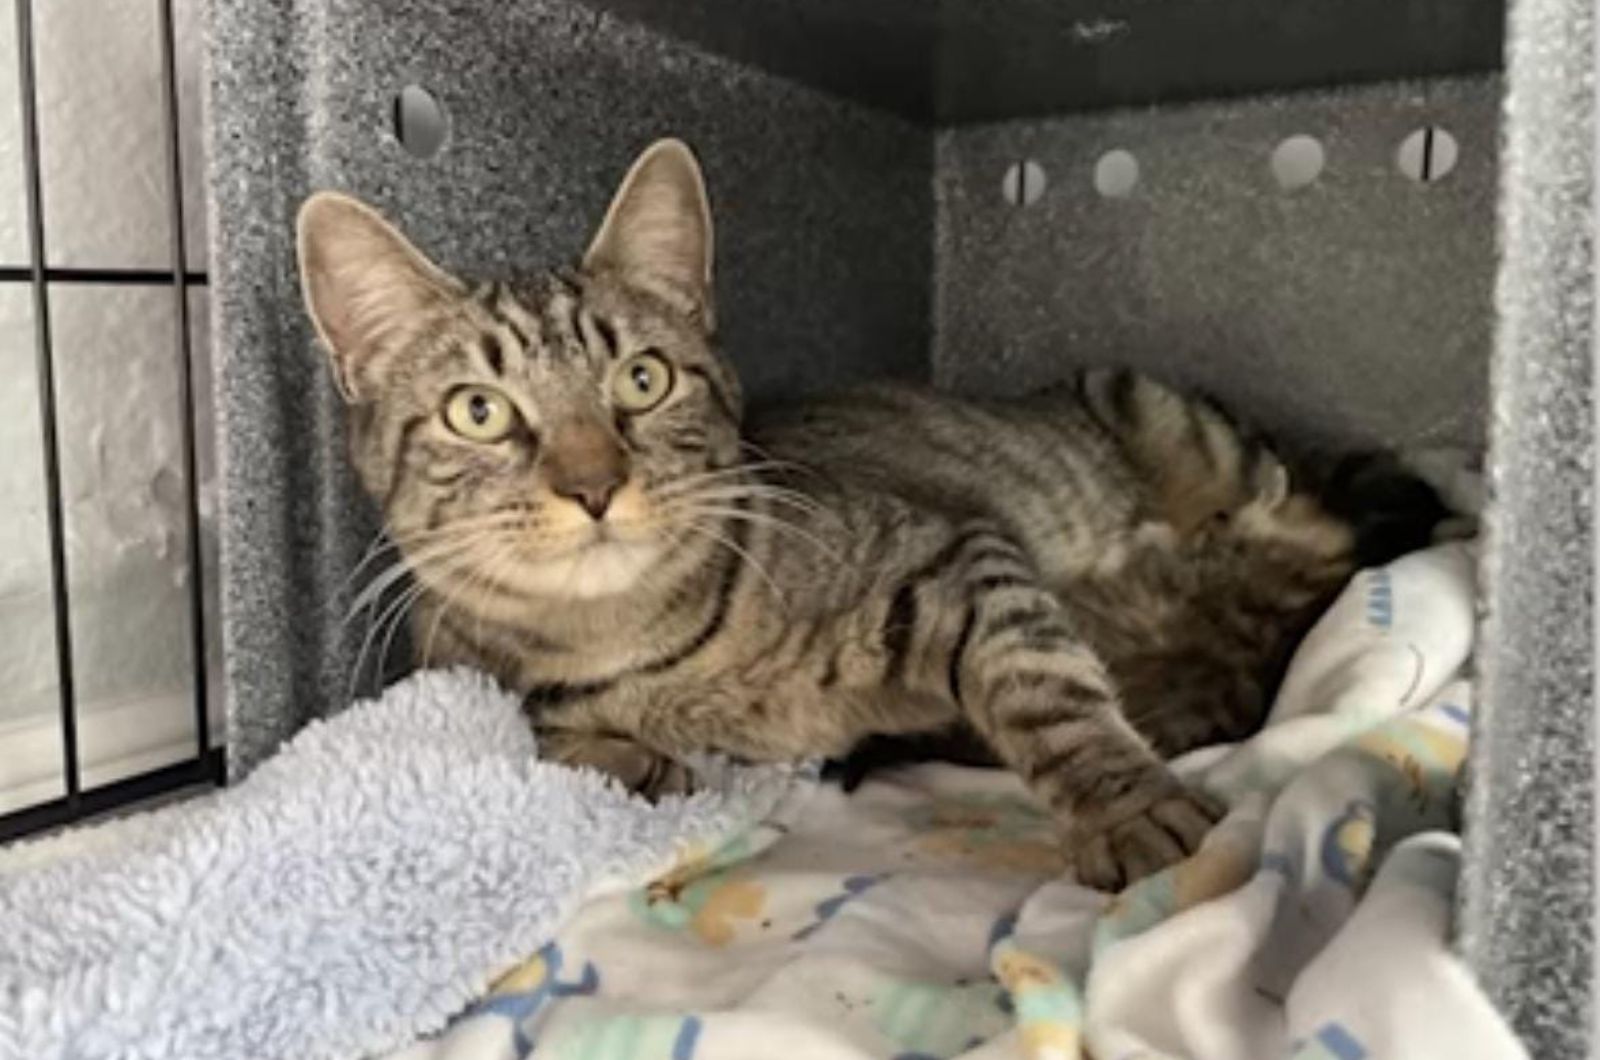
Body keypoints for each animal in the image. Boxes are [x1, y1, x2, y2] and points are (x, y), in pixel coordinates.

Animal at [297, 136, 1452, 890]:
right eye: (479, 410)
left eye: (642, 380)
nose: (591, 485)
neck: (633, 639)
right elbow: (551, 740)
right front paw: (628, 758)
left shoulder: (964, 558)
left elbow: (1047, 692)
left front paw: (1128, 805)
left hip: (1174, 423)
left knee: (1312, 520)